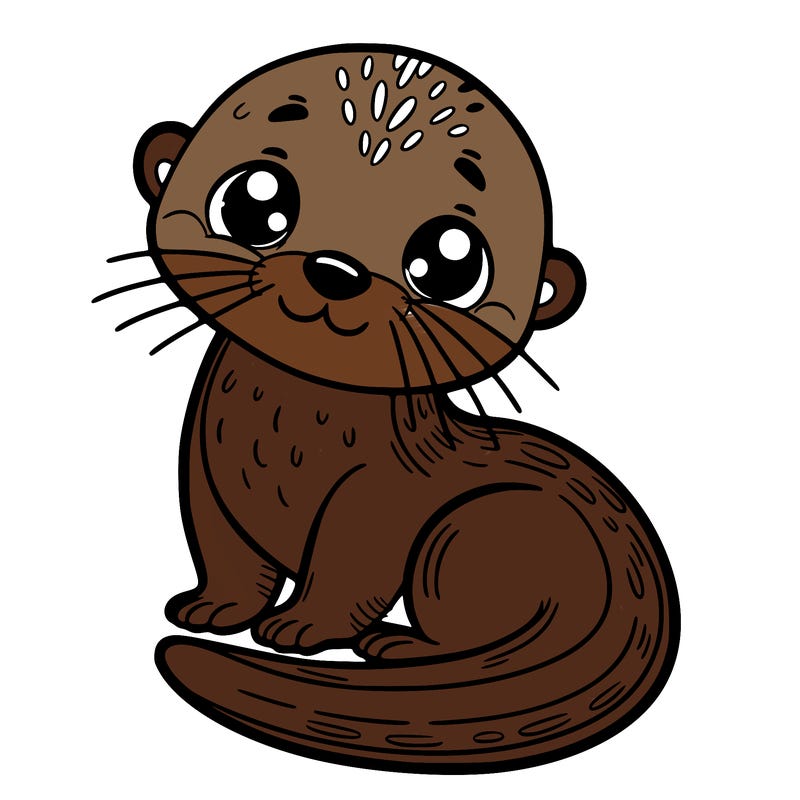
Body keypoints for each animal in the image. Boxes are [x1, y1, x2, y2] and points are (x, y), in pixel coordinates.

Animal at [99, 45, 679, 773]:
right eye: (255, 201)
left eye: (449, 262)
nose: (335, 270)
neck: (282, 438)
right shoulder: (205, 469)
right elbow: (225, 550)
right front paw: (212, 608)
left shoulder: (379, 495)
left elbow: (351, 567)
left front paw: (301, 627)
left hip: (473, 531)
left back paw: (401, 646)